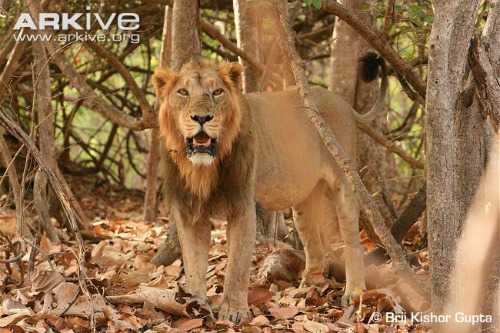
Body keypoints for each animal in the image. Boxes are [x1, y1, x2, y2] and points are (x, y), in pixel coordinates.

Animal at [152, 55, 386, 322]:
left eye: (217, 92)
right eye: (183, 92)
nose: (202, 118)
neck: (202, 170)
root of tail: (343, 103)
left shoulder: (242, 206)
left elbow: (237, 266)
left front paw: (233, 311)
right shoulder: (189, 212)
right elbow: (193, 264)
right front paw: (195, 305)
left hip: (344, 182)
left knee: (352, 241)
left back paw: (354, 292)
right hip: (304, 201)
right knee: (313, 245)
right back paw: (308, 287)